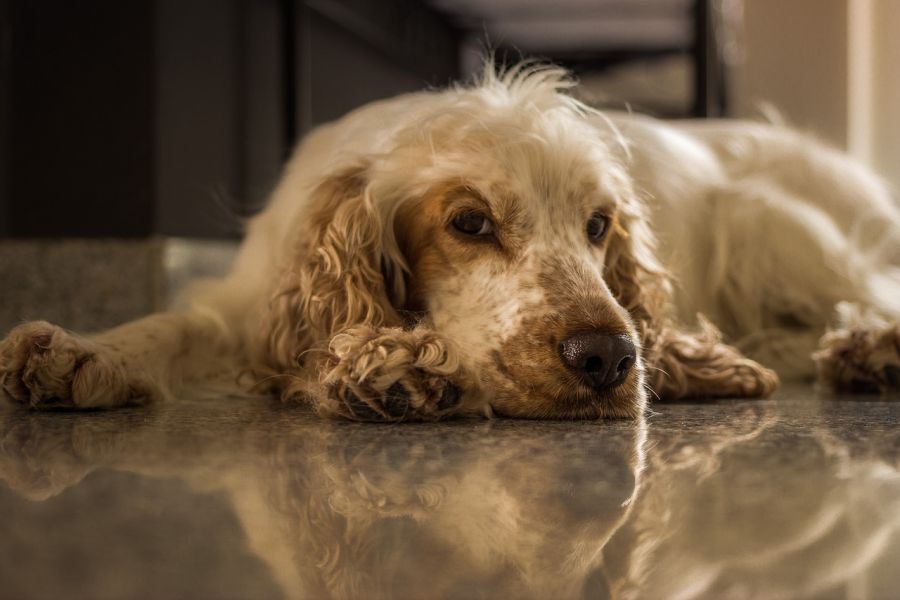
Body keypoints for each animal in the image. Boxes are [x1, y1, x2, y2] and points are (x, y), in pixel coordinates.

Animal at [1, 63, 900, 420]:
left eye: (599, 225)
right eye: (469, 223)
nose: (608, 359)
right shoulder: (252, 300)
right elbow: (177, 326)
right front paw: (83, 353)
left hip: (774, 225)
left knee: (869, 292)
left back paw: (869, 349)